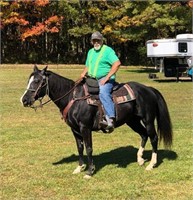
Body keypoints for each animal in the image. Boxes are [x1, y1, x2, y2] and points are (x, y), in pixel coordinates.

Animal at [20, 65, 173, 178]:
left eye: (37, 81)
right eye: (29, 80)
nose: (24, 100)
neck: (73, 98)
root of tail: (149, 89)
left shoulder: (85, 127)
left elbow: (88, 148)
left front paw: (90, 171)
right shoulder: (74, 129)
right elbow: (80, 147)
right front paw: (79, 167)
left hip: (148, 120)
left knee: (153, 137)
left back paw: (151, 164)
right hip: (132, 121)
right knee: (143, 135)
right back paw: (140, 159)